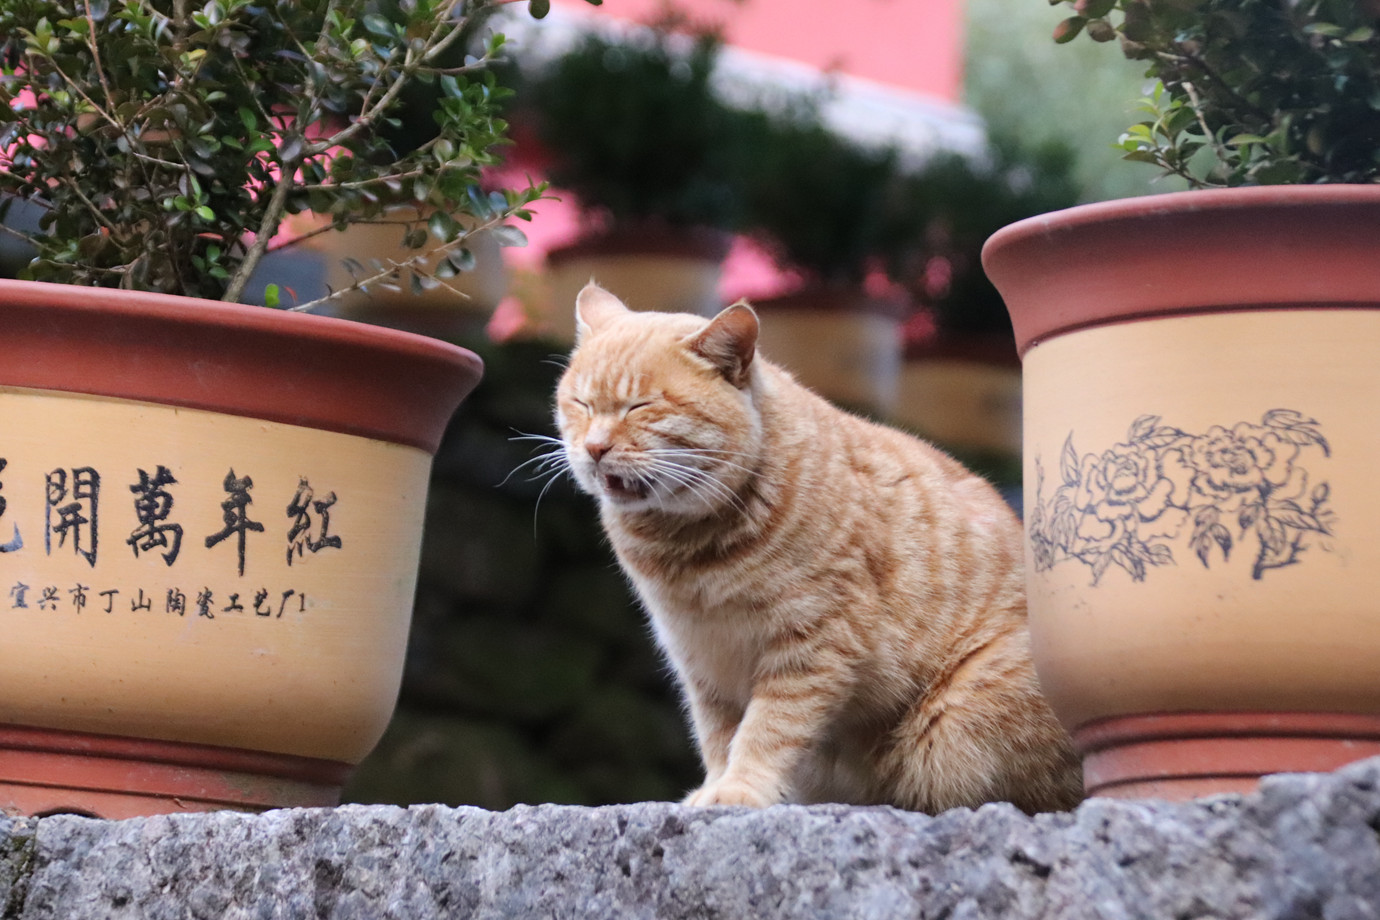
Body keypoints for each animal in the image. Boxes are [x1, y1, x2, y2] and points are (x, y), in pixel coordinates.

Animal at [554, 282, 1081, 811]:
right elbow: (717, 736)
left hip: (959, 724)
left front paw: (740, 789)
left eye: (639, 407)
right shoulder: (701, 661)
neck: (687, 551)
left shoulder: (812, 640)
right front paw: (715, 785)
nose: (594, 447)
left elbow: (767, 729)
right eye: (580, 404)